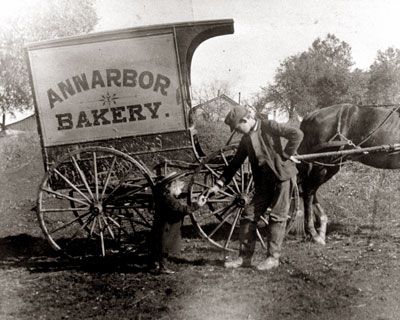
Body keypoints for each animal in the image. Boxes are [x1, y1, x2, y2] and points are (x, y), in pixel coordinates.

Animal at [296, 104, 400, 244]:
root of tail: (309, 116)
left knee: (309, 190)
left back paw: (321, 226)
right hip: (325, 162)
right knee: (308, 191)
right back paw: (313, 233)